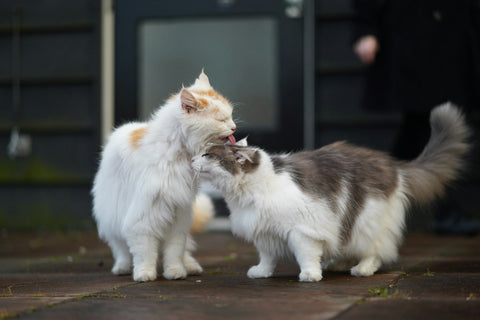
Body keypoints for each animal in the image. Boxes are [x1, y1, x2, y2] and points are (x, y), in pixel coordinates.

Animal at [92, 71, 236, 282]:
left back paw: (191, 266)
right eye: (221, 120)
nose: (234, 127)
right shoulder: (142, 218)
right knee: (121, 249)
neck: (178, 154)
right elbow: (145, 253)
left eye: (230, 116)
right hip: (113, 216)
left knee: (185, 251)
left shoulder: (178, 217)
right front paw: (144, 274)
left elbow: (174, 252)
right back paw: (122, 268)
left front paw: (175, 272)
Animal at [190, 104, 468, 282]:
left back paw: (361, 269)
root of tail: (393, 165)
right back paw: (338, 264)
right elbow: (267, 257)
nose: (191, 159)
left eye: (206, 155)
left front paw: (310, 275)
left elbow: (306, 255)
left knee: (375, 251)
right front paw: (261, 272)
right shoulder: (265, 232)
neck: (250, 192)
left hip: (366, 221)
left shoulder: (302, 230)